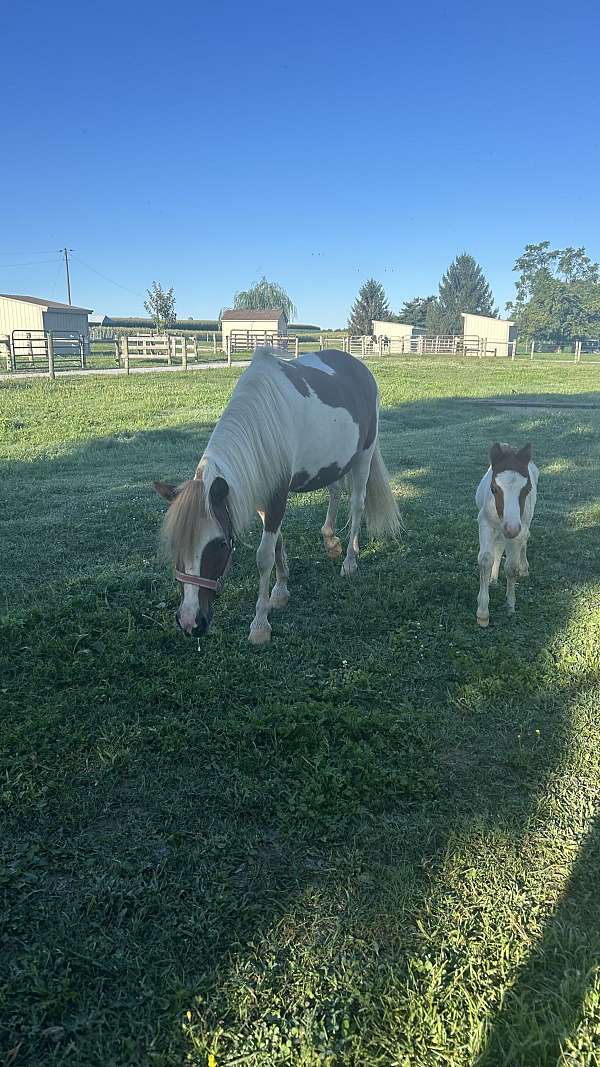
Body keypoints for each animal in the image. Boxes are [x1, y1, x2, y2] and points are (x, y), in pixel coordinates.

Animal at [154, 346, 400, 643]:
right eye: (174, 544)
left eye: (221, 544)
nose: (190, 622)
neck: (261, 422)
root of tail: (360, 368)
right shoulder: (265, 496)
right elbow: (278, 543)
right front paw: (281, 591)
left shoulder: (277, 496)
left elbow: (264, 557)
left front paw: (260, 623)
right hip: (333, 463)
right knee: (335, 491)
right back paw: (330, 540)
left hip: (363, 456)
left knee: (357, 505)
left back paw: (350, 561)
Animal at [475, 442, 539, 627]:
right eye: (493, 489)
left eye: (527, 489)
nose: (511, 528)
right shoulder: (485, 522)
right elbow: (485, 560)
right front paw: (483, 613)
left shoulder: (519, 527)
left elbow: (511, 567)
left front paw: (510, 605)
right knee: (499, 545)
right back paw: (493, 579)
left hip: (523, 523)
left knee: (524, 540)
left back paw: (524, 568)